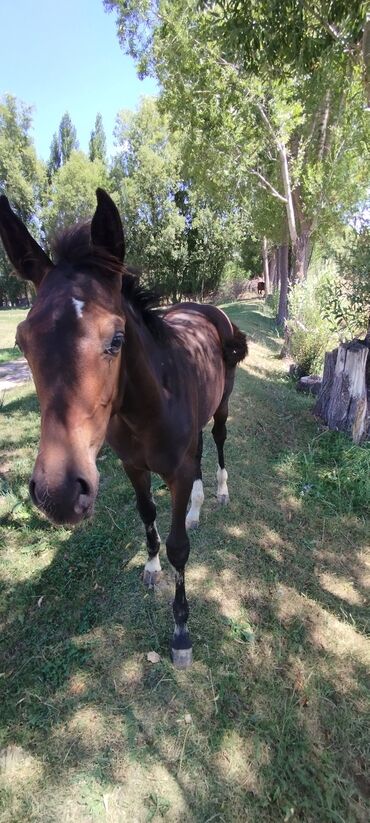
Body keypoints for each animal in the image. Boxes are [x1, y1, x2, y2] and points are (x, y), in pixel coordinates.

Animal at [0, 192, 249, 668]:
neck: (146, 408)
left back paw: (221, 492)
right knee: (200, 454)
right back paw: (196, 507)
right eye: (22, 341)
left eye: (116, 339)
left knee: (219, 442)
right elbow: (148, 515)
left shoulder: (175, 471)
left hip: (222, 408)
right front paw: (151, 567)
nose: (58, 493)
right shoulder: (134, 467)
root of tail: (209, 310)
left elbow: (179, 547)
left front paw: (181, 632)